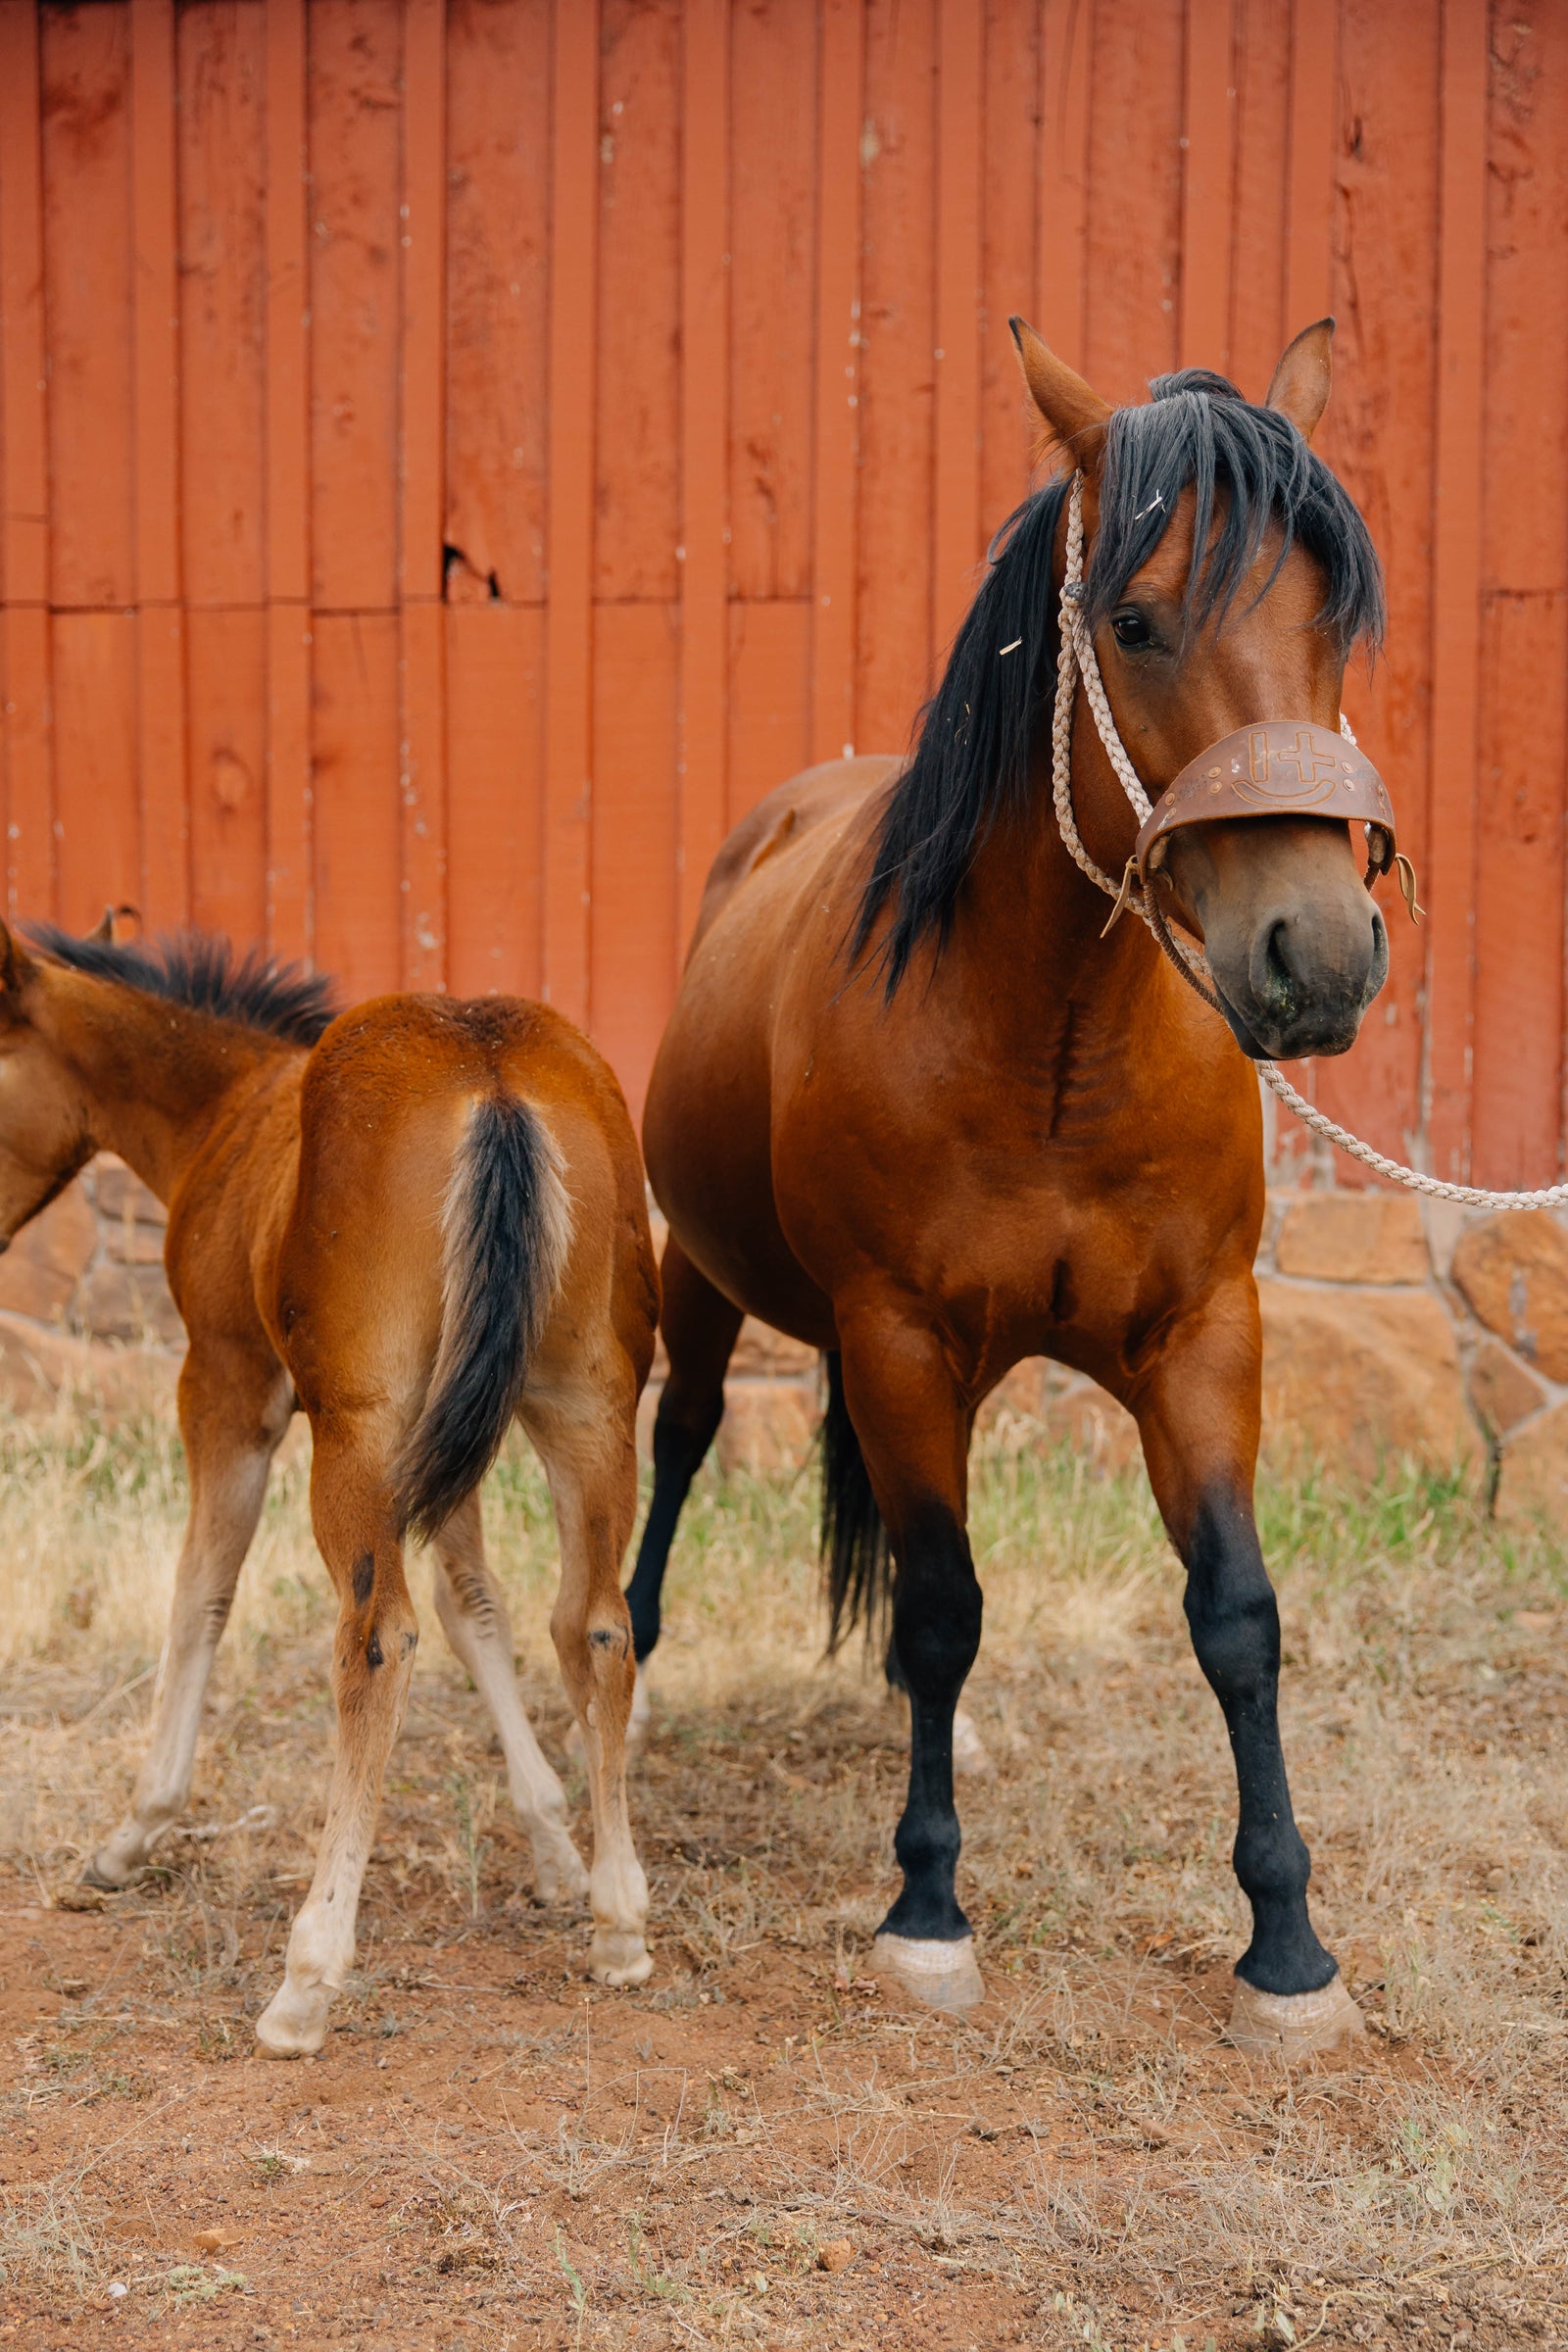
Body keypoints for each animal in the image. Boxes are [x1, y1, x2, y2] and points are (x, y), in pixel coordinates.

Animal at [0, 921, 658, 2054]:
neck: (226, 1113)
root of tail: (491, 1072)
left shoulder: (226, 1387)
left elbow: (199, 1596)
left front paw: (132, 1834)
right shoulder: (453, 1431)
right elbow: (478, 1605)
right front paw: (556, 1854)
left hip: (362, 1429)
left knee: (376, 1638)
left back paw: (308, 1976)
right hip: (585, 1408)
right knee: (597, 1622)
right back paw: (620, 1925)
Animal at [624, 318, 1393, 2057]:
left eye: (1337, 621)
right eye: (1136, 618)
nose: (1317, 955)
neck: (1049, 1038)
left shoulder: (1201, 1339)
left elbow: (1235, 1617)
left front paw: (1287, 1946)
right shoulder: (899, 1338)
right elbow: (940, 1609)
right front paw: (926, 1913)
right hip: (704, 1289)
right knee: (681, 1456)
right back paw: (614, 1699)